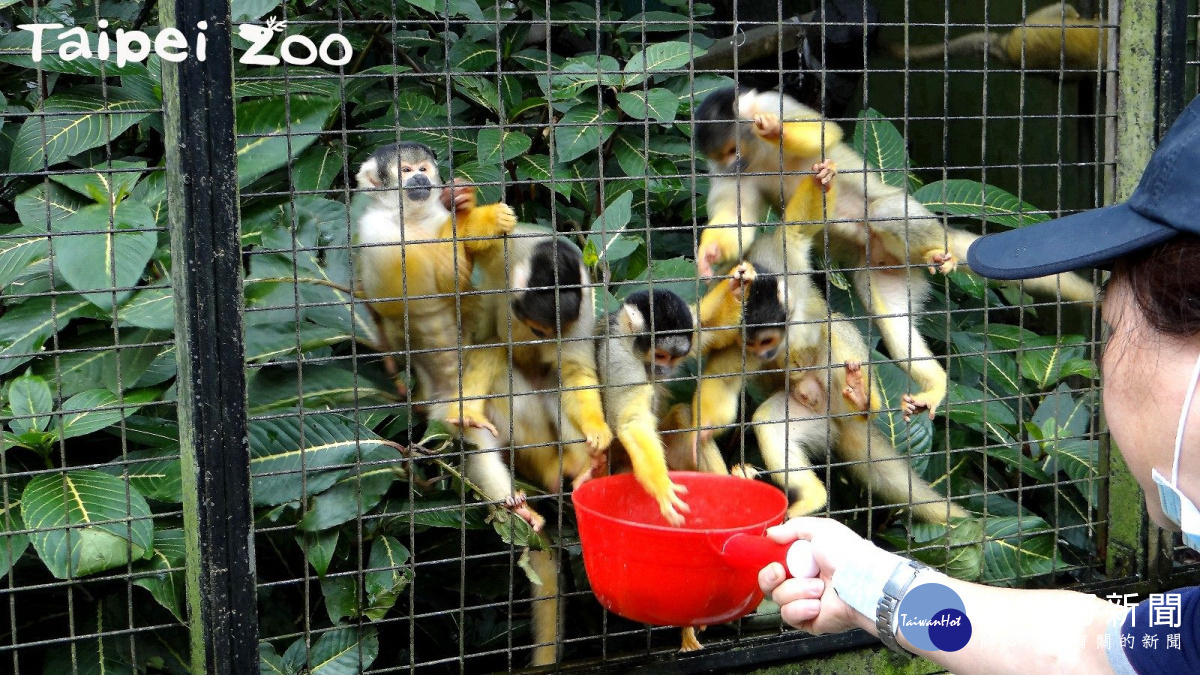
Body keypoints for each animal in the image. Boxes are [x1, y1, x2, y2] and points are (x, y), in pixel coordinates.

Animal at [350, 141, 511, 403]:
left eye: (422, 168)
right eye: (405, 170)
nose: (419, 177)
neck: (410, 216)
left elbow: (454, 283)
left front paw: (461, 202)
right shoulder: (378, 231)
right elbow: (413, 289)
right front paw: (463, 211)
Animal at [597, 285, 700, 523]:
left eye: (672, 358)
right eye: (659, 356)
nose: (664, 370)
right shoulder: (619, 358)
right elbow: (632, 422)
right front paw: (662, 486)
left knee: (682, 414)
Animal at [696, 86, 1099, 417]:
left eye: (733, 148)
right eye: (724, 154)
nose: (733, 162)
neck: (752, 154)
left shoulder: (767, 102)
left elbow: (827, 132)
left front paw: (775, 129)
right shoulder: (727, 172)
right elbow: (737, 219)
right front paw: (711, 255)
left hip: (910, 213)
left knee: (884, 213)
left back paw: (939, 253)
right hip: (877, 269)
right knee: (892, 322)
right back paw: (934, 381)